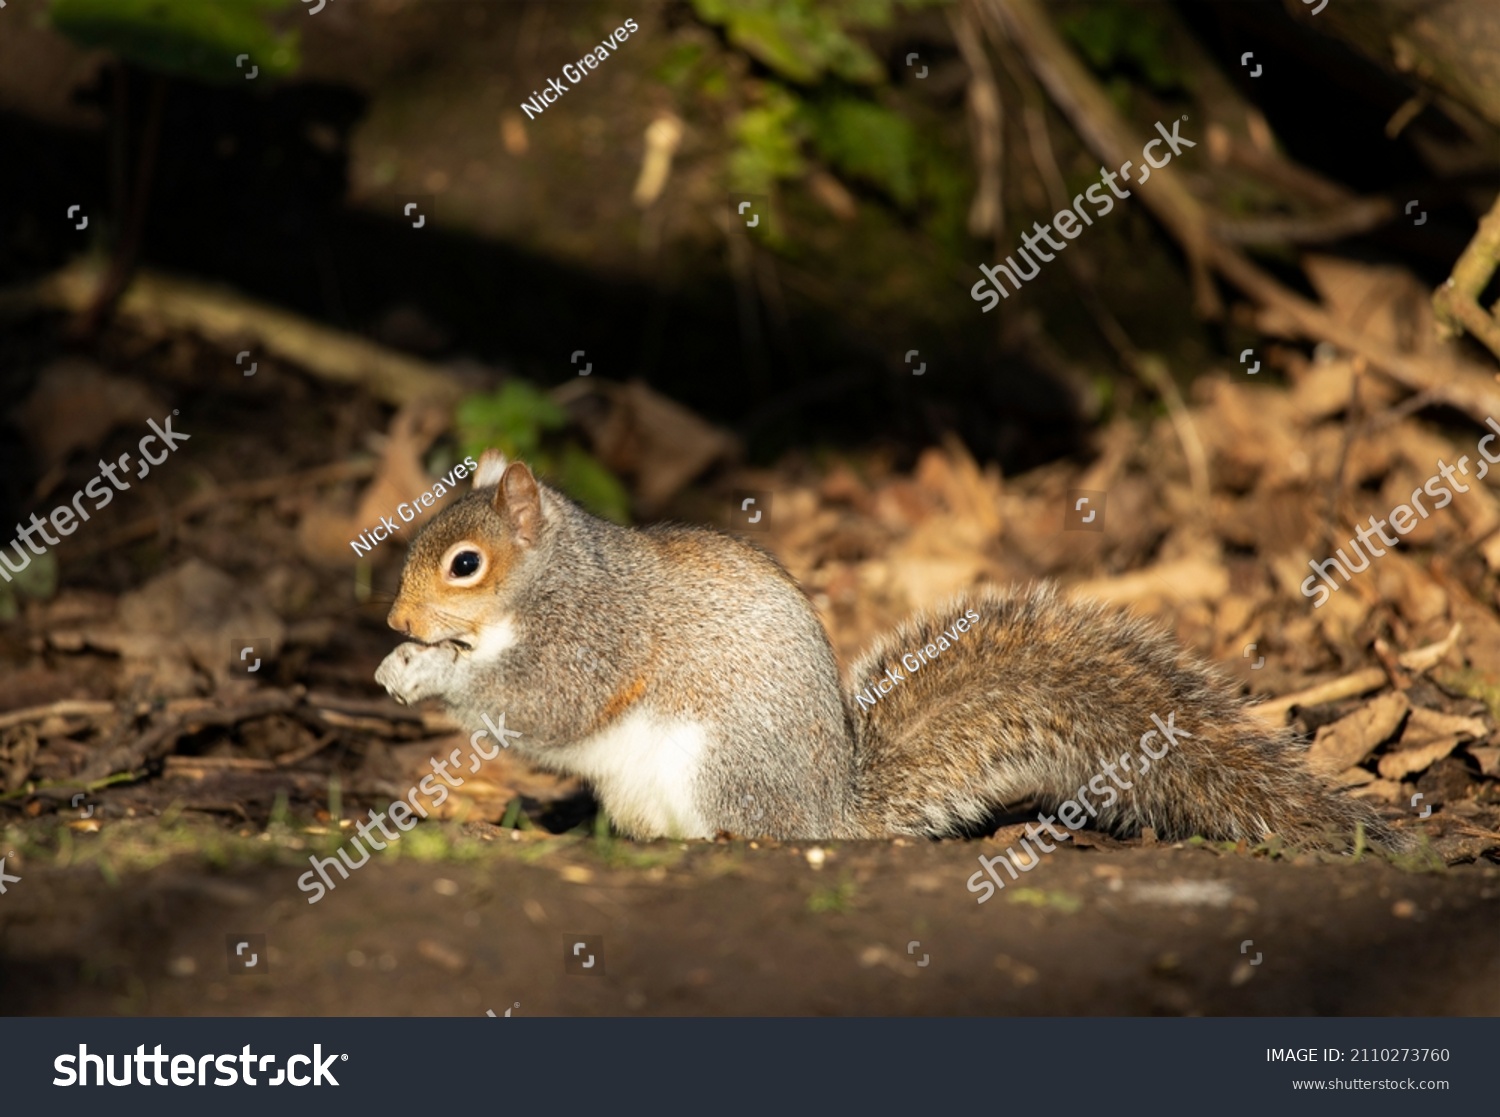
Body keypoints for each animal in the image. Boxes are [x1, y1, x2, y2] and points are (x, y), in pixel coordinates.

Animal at [375, 449, 1404, 851]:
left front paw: (431, 674)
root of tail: (832, 813)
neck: (545, 583)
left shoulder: (594, 637)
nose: (395, 623)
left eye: (465, 563)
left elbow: (543, 704)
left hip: (721, 767)